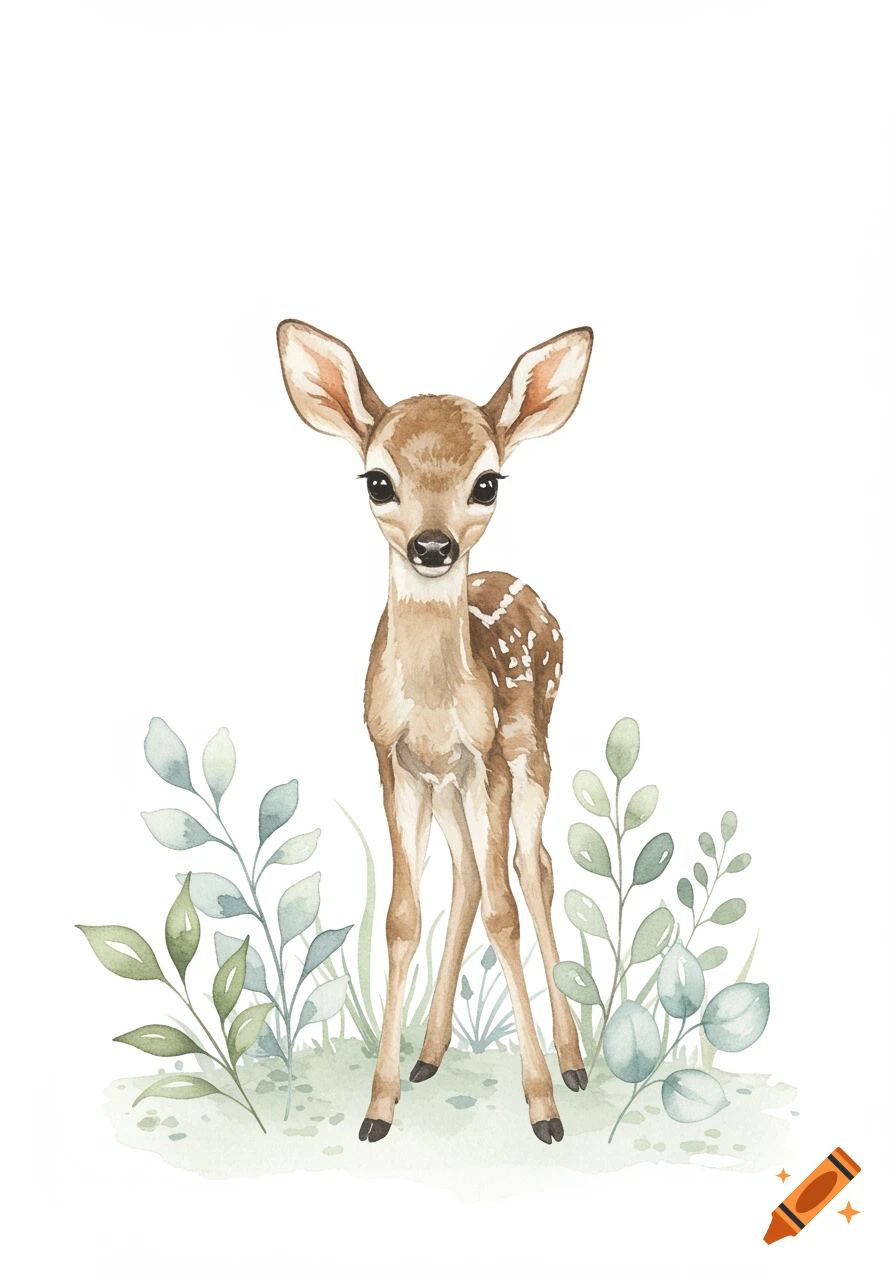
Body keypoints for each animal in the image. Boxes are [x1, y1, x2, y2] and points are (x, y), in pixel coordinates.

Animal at [277, 319, 593, 1144]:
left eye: (487, 481)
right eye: (377, 479)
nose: (431, 546)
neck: (430, 703)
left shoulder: (489, 758)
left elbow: (507, 912)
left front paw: (543, 1108)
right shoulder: (395, 761)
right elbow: (401, 917)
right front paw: (378, 1106)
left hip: (534, 747)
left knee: (532, 868)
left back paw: (575, 1064)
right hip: (449, 785)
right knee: (469, 875)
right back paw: (429, 1053)